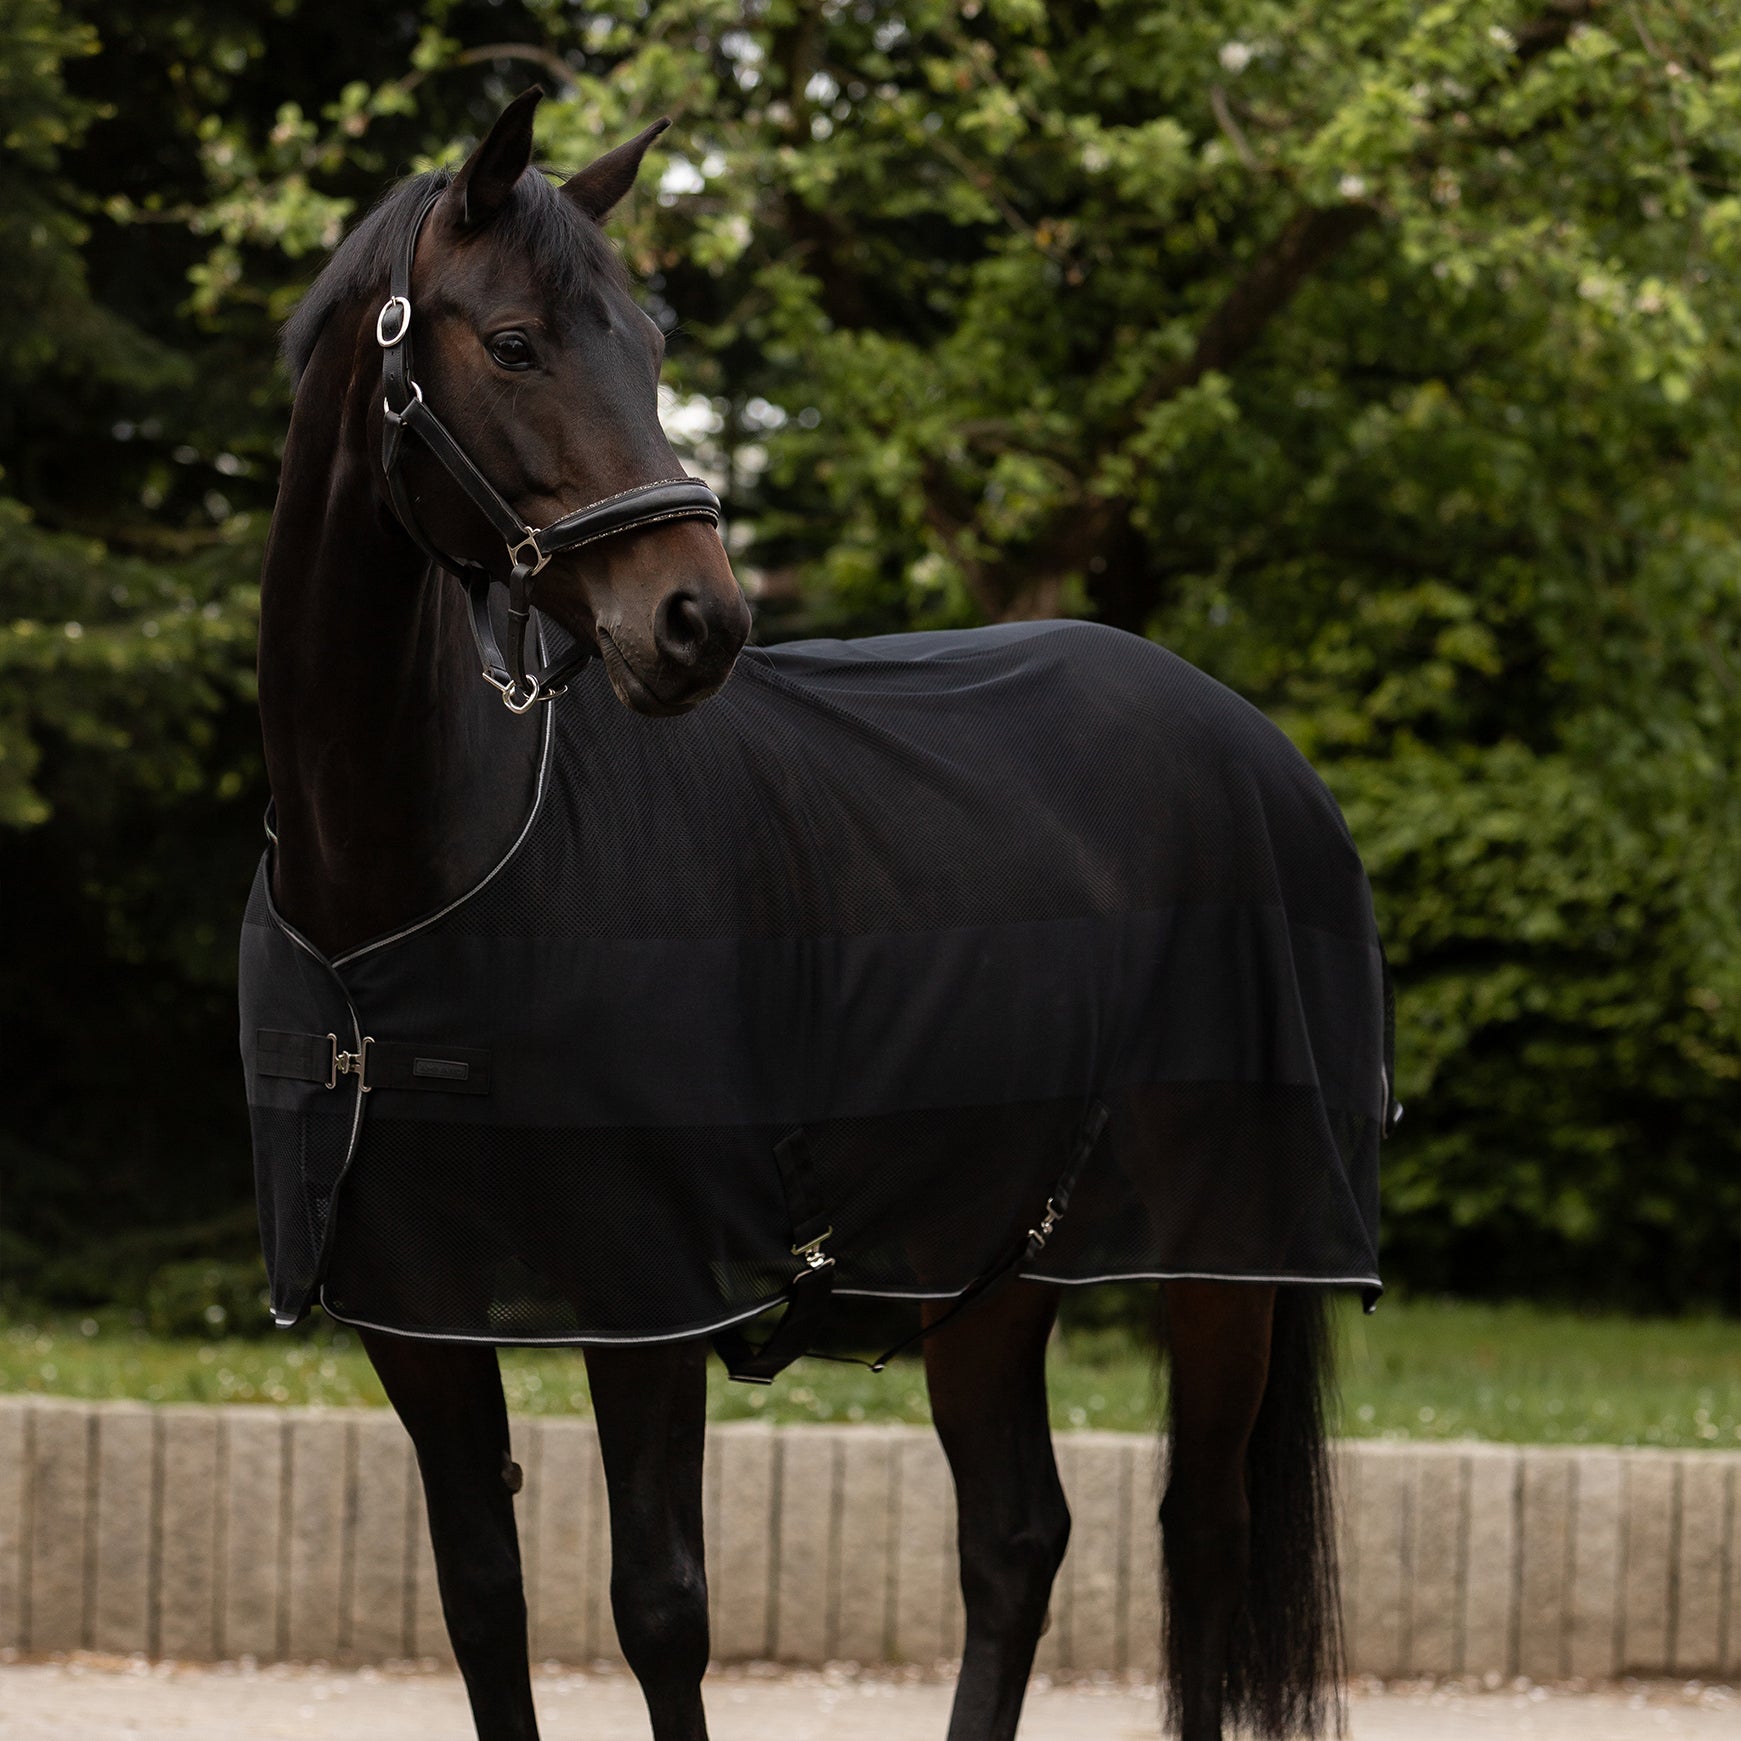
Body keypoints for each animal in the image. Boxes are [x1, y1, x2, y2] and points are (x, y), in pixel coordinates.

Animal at [249, 88, 1384, 1741]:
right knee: (1016, 1540)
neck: (418, 871)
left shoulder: (645, 1296)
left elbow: (659, 1609)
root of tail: (1256, 746)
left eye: (652, 345)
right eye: (514, 342)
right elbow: (480, 1602)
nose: (696, 622)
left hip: (1227, 1252)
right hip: (992, 1262)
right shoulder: (419, 1314)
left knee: (1206, 1541)